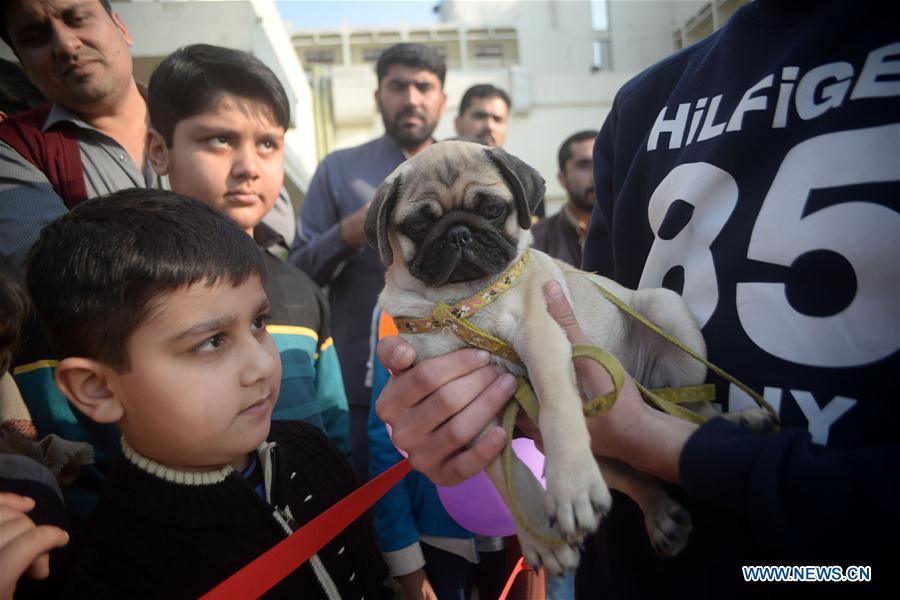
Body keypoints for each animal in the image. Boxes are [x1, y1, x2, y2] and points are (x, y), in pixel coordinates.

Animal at [366, 139, 716, 572]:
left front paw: (571, 486)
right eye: (417, 225)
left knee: (693, 405)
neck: (462, 302)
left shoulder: (542, 338)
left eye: (492, 210)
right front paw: (541, 538)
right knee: (637, 473)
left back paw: (740, 419)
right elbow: (508, 473)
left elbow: (556, 408)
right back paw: (661, 515)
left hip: (666, 310)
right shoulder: (467, 403)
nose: (459, 233)